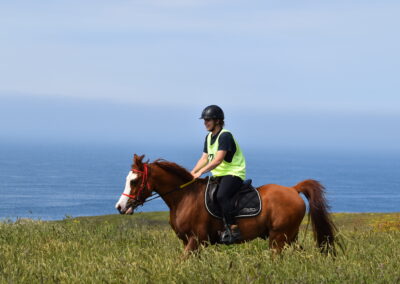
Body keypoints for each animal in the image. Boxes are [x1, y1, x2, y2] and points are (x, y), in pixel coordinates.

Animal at [115, 154, 338, 254]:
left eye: (134, 181)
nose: (120, 207)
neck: (184, 197)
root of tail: (293, 189)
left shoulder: (195, 240)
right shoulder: (190, 242)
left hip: (278, 237)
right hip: (288, 236)